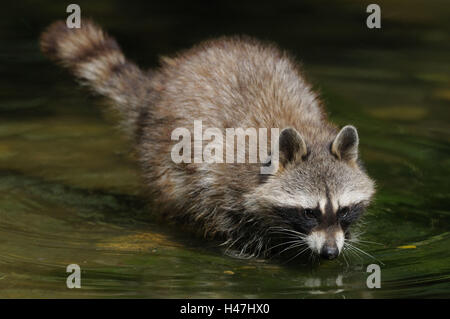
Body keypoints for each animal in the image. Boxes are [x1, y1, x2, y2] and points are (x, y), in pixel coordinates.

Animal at [40, 21, 374, 264]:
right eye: (309, 212)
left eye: (344, 210)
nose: (330, 253)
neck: (307, 133)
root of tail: (158, 87)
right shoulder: (224, 176)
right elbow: (223, 212)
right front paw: (254, 250)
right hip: (161, 151)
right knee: (176, 192)